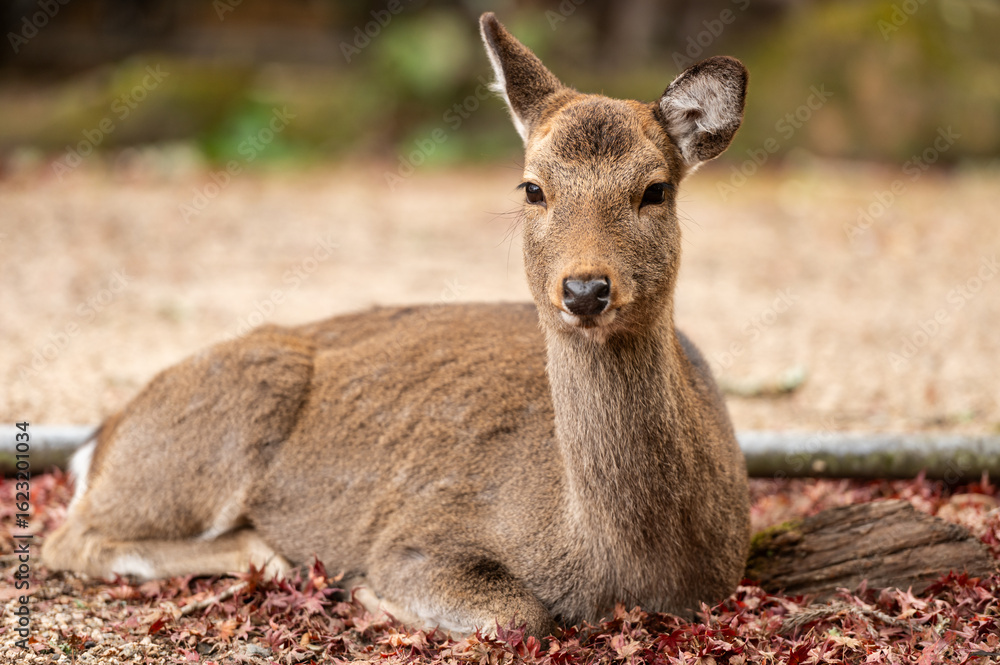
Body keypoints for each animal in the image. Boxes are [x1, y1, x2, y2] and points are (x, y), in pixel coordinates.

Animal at [41, 13, 751, 638]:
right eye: (532, 188)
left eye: (656, 189)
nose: (584, 289)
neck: (624, 567)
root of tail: (102, 437)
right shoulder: (418, 534)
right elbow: (519, 613)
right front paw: (373, 597)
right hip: (214, 425)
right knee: (69, 539)